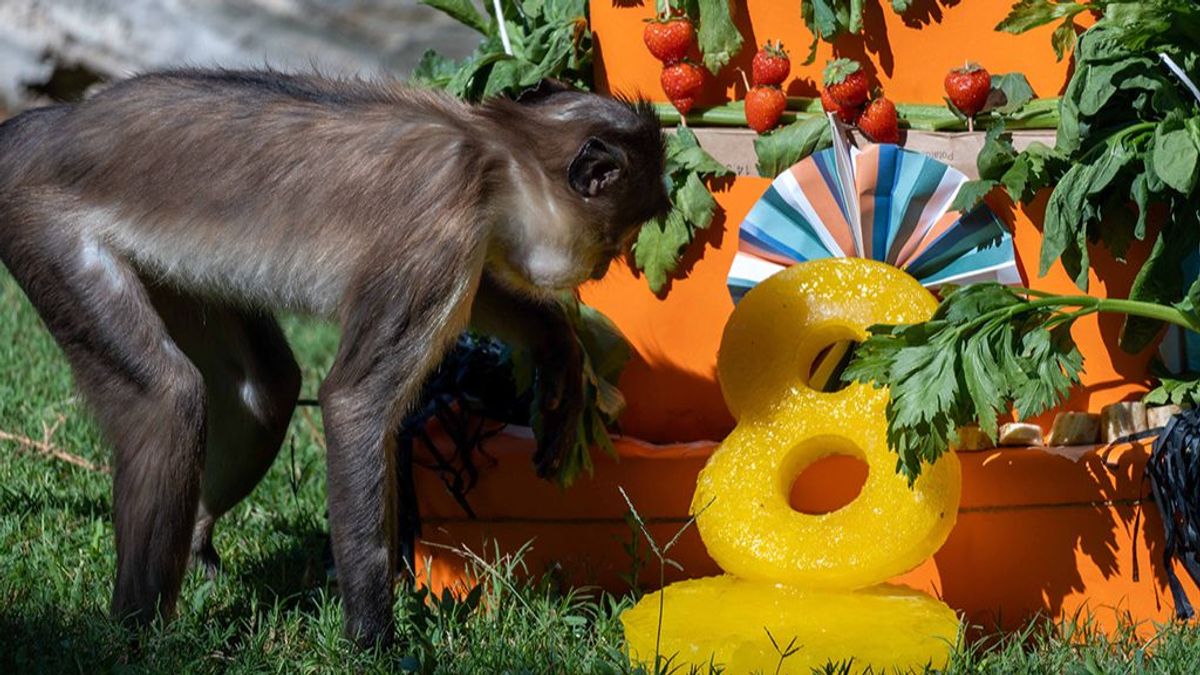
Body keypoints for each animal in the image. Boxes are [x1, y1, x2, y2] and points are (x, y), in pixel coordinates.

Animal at [0, 68, 672, 648]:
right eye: (617, 240)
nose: (605, 269)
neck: (490, 149)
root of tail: (46, 126)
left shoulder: (465, 241)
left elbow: (486, 292)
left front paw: (558, 354)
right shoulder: (443, 227)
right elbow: (354, 403)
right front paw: (374, 640)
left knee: (265, 393)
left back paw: (195, 547)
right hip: (42, 226)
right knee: (167, 399)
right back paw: (134, 640)